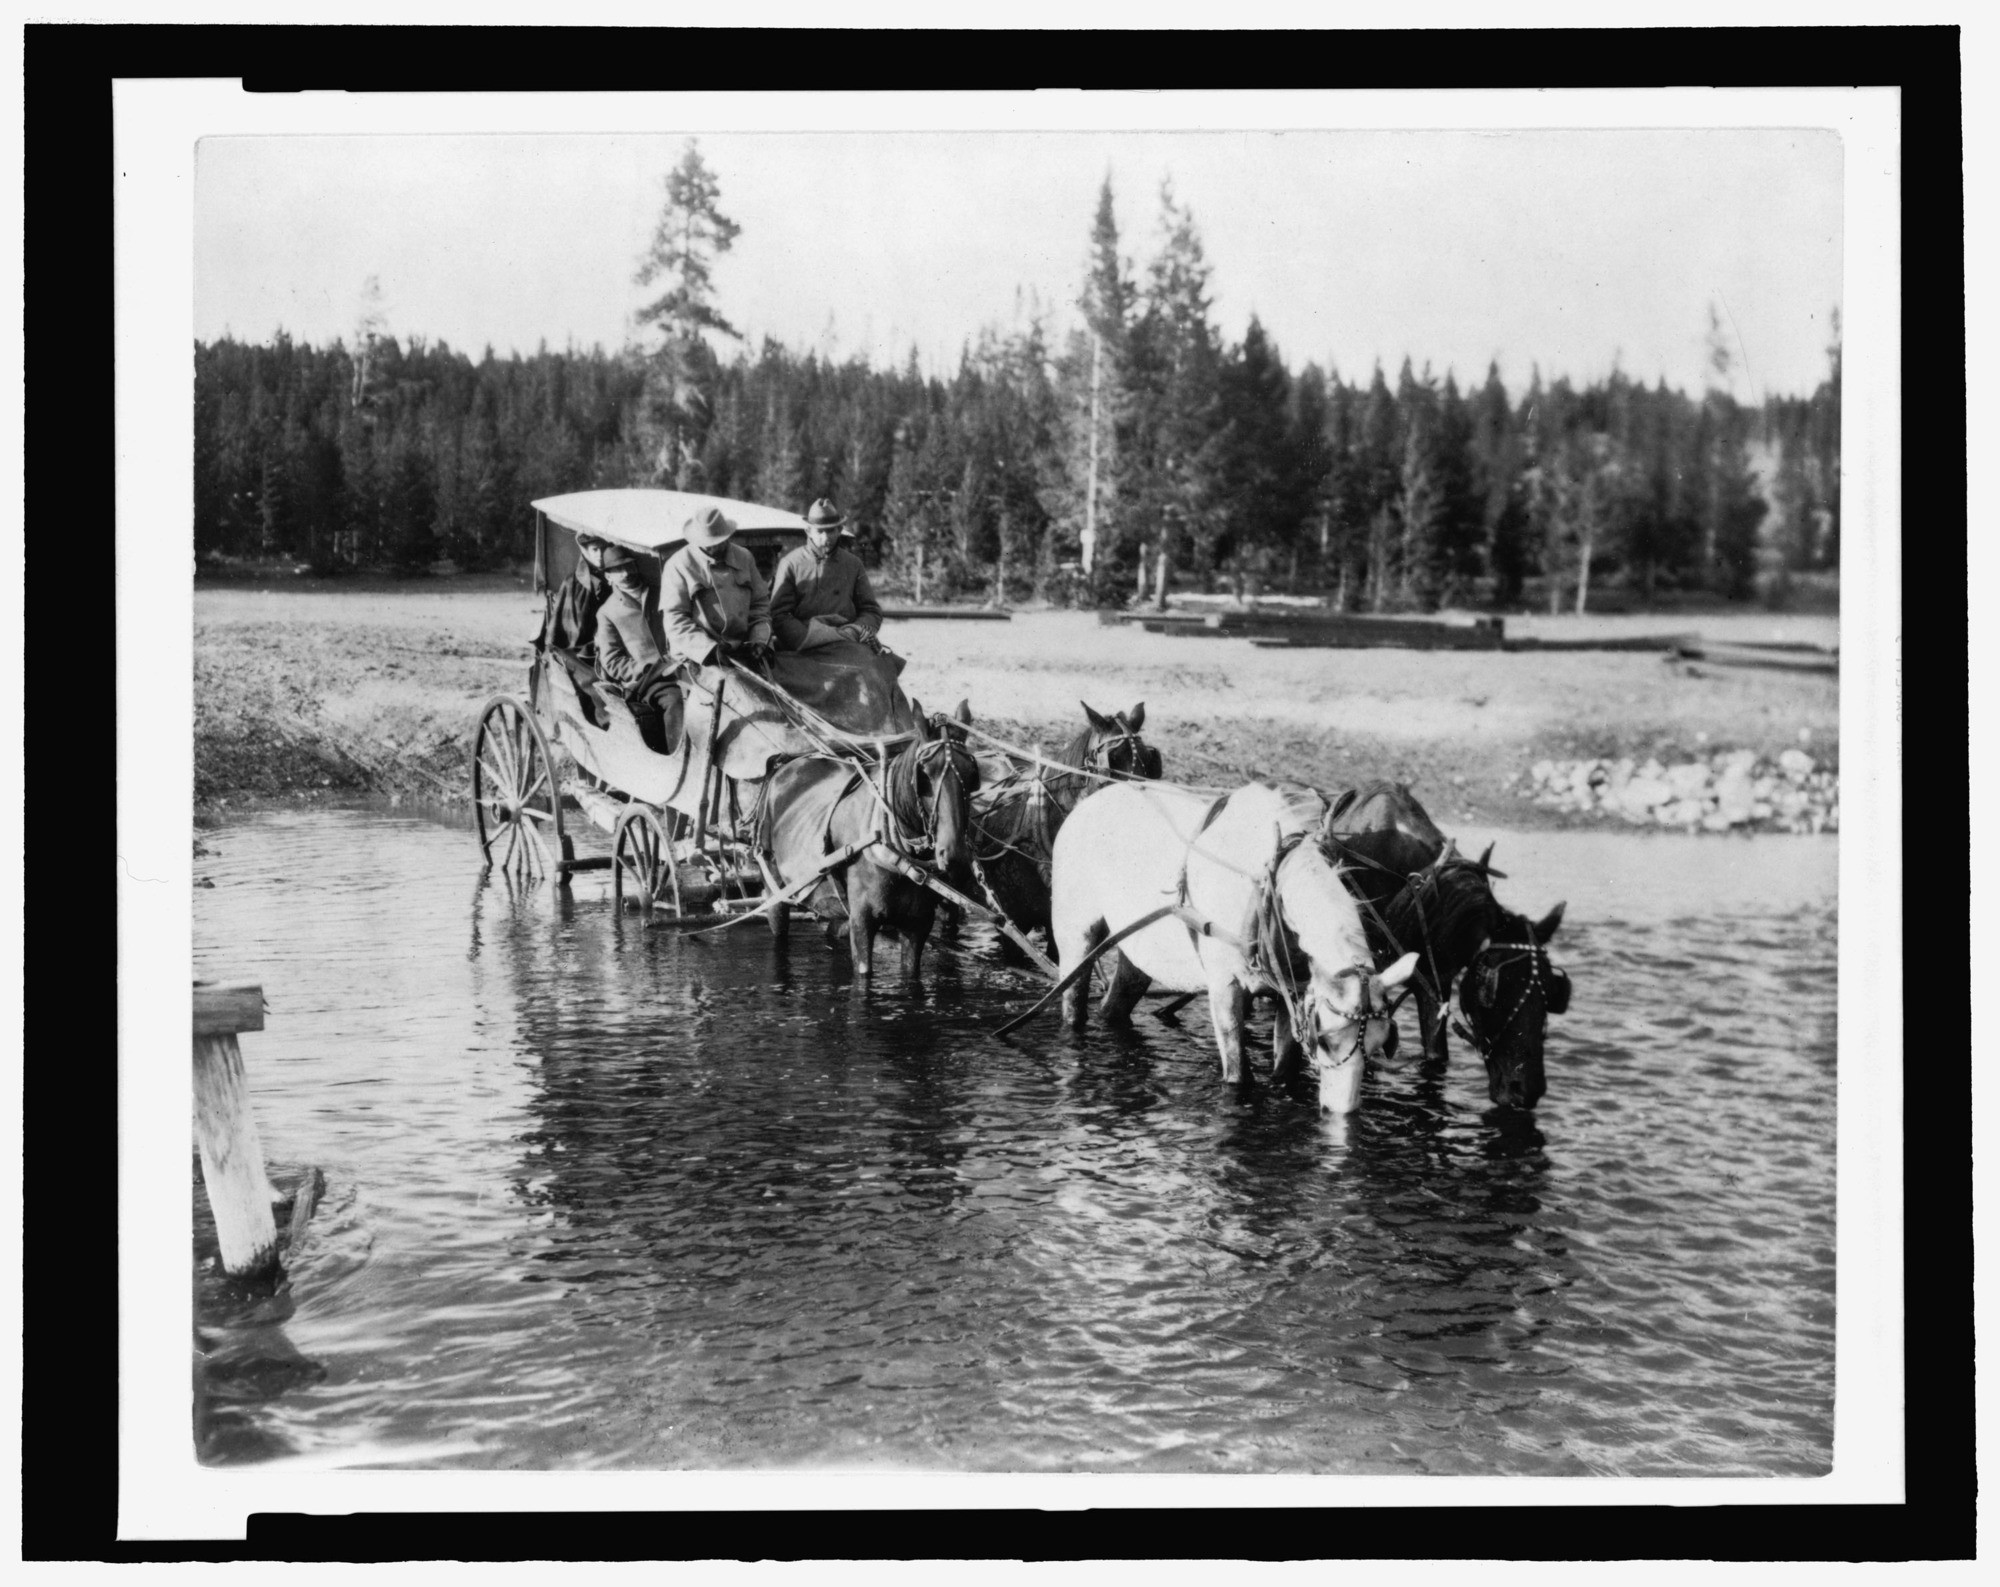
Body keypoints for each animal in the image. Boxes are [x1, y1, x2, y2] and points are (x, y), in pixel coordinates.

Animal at [756, 703, 976, 975]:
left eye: (972, 773)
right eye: (924, 773)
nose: (955, 855)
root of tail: (785, 763)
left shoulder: (918, 926)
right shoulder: (863, 922)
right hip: (774, 888)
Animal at [1048, 783, 1424, 1111]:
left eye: (1380, 1044)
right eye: (1327, 1040)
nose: (1340, 1113)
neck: (1269, 888)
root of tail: (1090, 800)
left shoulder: (1292, 994)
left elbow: (1285, 1068)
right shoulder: (1224, 987)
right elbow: (1238, 1072)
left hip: (1138, 949)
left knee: (1117, 1000)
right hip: (1077, 936)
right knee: (1073, 997)